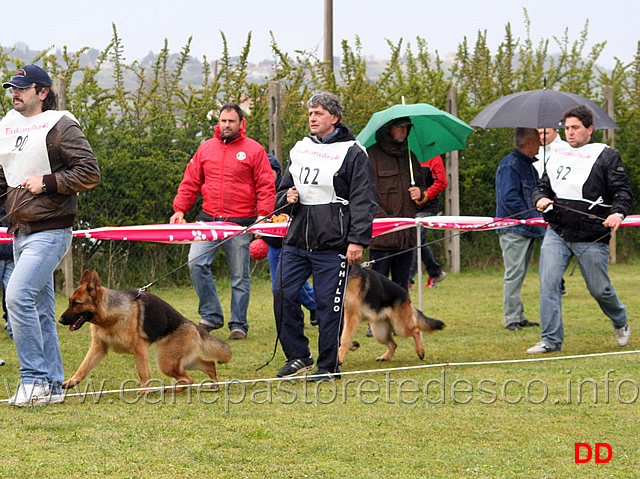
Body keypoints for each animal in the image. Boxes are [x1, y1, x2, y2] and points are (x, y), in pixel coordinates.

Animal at [60, 270, 232, 394]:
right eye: (69, 302)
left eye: (76, 303)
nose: (60, 320)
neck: (111, 315)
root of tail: (195, 326)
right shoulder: (98, 348)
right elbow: (84, 366)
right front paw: (73, 380)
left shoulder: (139, 349)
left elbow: (143, 372)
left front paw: (144, 390)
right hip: (179, 361)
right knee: (208, 365)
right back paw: (212, 386)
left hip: (166, 362)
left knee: (189, 380)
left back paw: (169, 389)